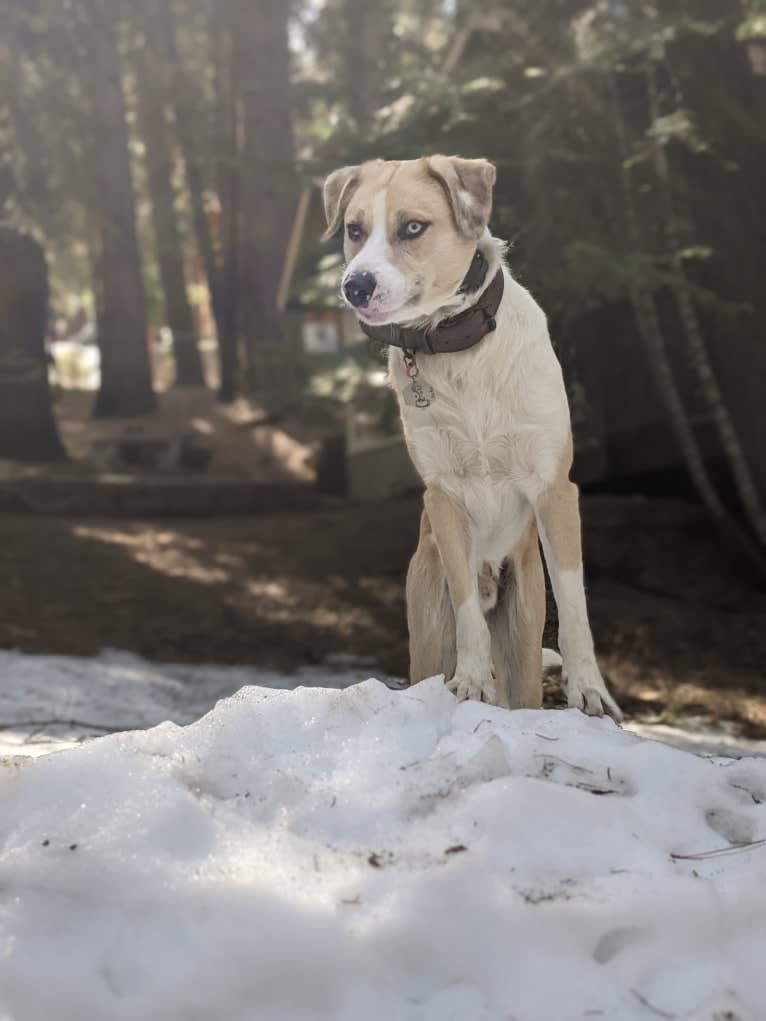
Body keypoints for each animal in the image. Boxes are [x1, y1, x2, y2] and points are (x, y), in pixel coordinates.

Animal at [324, 155, 625, 722]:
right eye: (354, 229)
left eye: (412, 227)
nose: (355, 286)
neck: (459, 347)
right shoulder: (444, 497)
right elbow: (466, 609)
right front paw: (470, 680)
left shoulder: (556, 490)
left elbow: (575, 601)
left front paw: (588, 689)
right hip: (425, 619)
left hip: (524, 630)